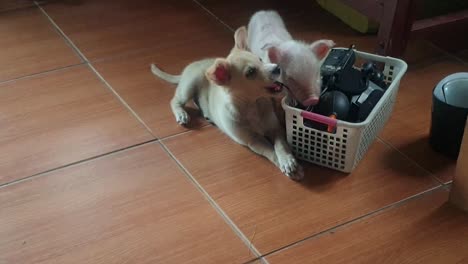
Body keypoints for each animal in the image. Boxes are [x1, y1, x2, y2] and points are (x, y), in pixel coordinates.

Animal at [151, 26, 304, 179]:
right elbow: (271, 152)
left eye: (260, 59)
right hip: (189, 85)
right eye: (250, 72)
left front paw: (287, 159)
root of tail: (194, 65)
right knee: (175, 100)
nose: (277, 68)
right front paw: (288, 166)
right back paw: (181, 114)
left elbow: (281, 145)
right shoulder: (253, 141)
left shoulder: (275, 129)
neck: (252, 106)